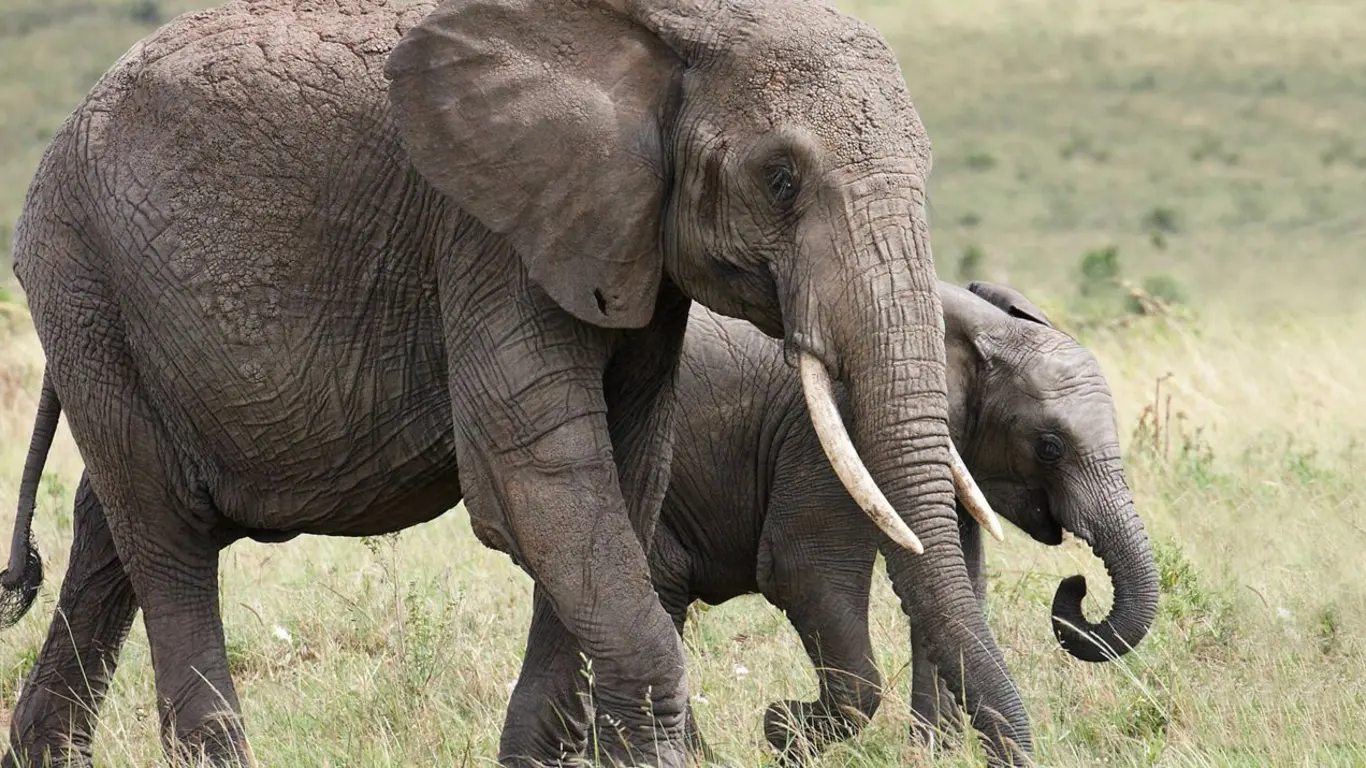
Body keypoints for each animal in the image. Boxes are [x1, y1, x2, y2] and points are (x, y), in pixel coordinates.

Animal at [0, 0, 1031, 765]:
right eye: (780, 179)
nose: (780, 722)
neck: (673, 29)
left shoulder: (623, 245)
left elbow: (625, 478)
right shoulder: (487, 234)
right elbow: (535, 483)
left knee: (111, 532)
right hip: (82, 276)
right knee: (168, 534)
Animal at [503, 280, 1159, 764]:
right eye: (1050, 447)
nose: (1076, 586)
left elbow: (951, 589)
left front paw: (930, 755)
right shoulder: (822, 432)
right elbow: (803, 571)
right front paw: (780, 730)